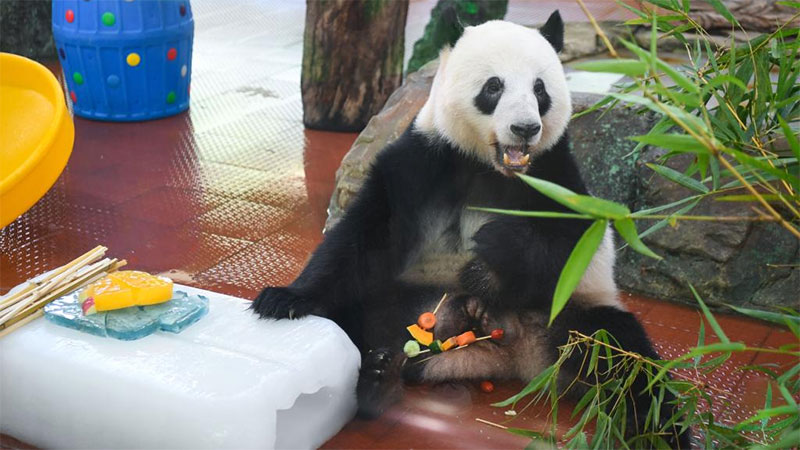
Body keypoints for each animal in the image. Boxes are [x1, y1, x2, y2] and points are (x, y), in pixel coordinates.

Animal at [255, 12, 688, 448]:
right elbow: (366, 233)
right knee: (357, 320)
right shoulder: (425, 157)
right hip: (416, 304)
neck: (491, 165)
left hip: (572, 315)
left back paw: (658, 432)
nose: (525, 128)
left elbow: (573, 242)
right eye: (494, 86)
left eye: (539, 88)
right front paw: (286, 299)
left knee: (623, 357)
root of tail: (517, 358)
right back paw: (380, 380)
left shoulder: (555, 174)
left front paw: (492, 251)